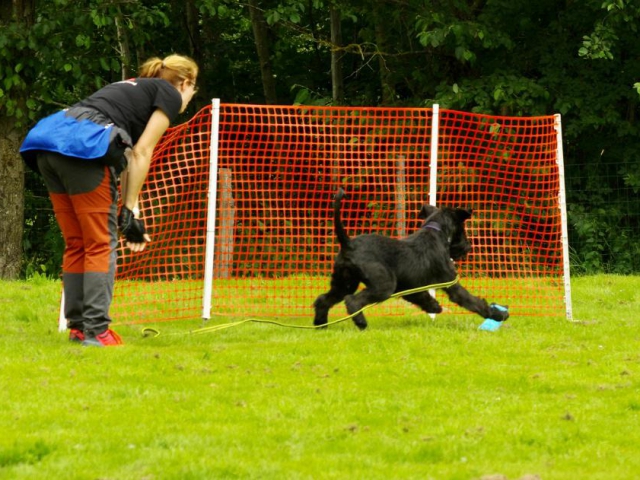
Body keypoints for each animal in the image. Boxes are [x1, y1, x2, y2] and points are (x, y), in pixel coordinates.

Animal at [312, 188, 512, 330]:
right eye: (462, 229)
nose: (468, 247)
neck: (436, 233)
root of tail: (348, 244)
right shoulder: (450, 282)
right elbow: (473, 301)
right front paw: (497, 314)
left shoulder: (410, 286)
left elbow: (422, 297)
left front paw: (434, 307)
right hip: (383, 285)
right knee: (353, 300)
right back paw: (360, 322)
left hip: (344, 281)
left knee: (324, 299)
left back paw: (320, 324)